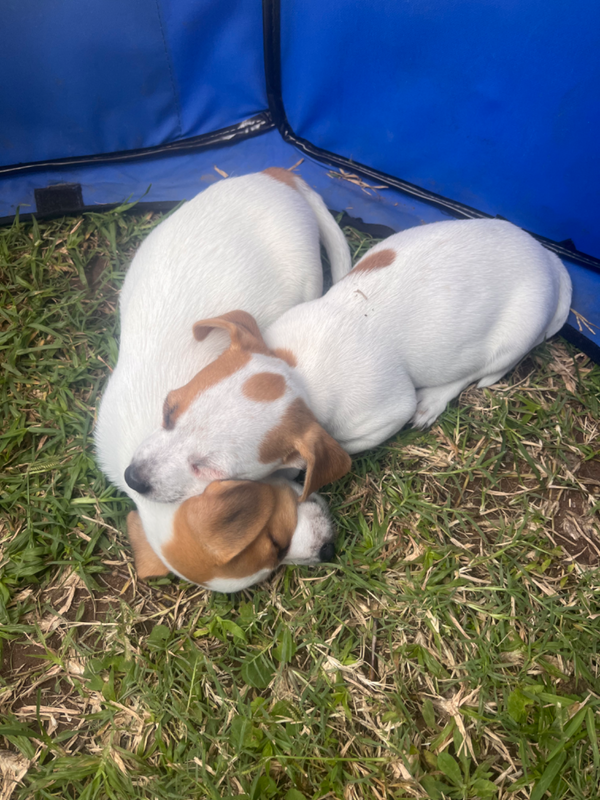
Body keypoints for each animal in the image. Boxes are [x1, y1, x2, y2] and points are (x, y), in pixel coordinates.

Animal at [127, 216, 572, 496]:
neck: (299, 372)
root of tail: (548, 259)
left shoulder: (382, 417)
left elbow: (336, 448)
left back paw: (434, 400)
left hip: (510, 343)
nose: (131, 478)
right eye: (167, 411)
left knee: (475, 373)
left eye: (209, 469)